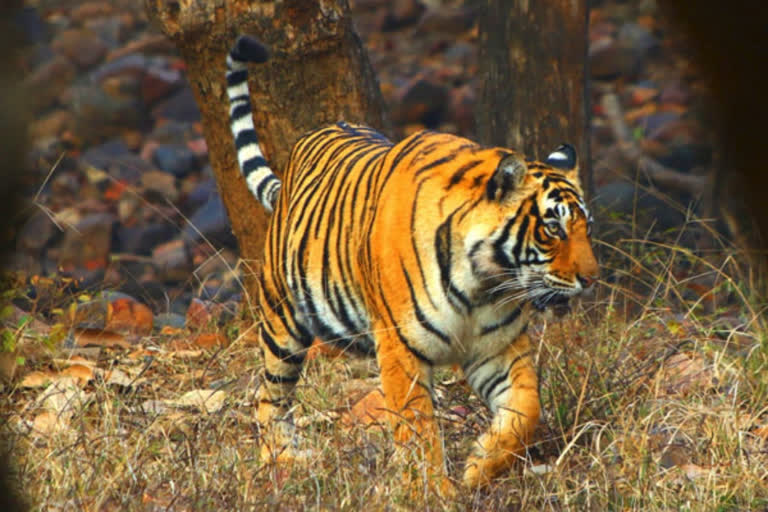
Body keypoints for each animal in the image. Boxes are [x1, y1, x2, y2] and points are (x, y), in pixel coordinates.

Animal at [228, 35, 600, 492]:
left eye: (585, 228)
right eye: (552, 228)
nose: (592, 278)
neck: (484, 282)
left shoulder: (498, 348)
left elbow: (526, 410)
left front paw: (480, 465)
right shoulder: (401, 349)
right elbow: (418, 427)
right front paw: (433, 492)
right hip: (283, 320)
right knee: (269, 394)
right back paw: (282, 459)